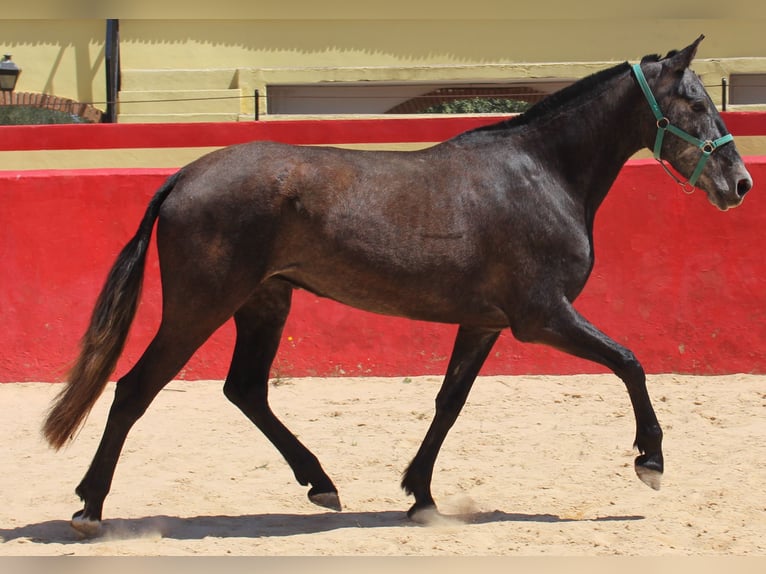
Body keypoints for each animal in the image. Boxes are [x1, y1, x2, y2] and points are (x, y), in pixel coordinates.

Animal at [43, 36, 756, 536]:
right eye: (695, 103)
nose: (741, 183)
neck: (542, 174)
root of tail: (183, 176)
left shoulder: (485, 322)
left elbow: (448, 403)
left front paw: (421, 495)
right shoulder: (542, 317)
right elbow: (631, 362)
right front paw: (650, 462)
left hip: (265, 302)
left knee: (244, 389)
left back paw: (321, 483)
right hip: (201, 306)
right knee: (134, 390)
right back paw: (89, 508)